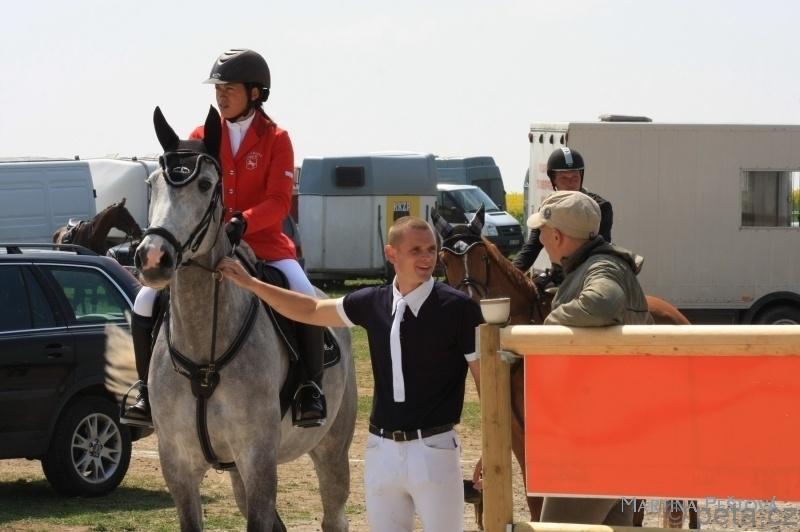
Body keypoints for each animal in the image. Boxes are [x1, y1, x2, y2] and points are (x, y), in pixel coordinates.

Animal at [133, 106, 357, 531]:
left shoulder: (258, 459)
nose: (152, 258)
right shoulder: (179, 466)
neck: (204, 350)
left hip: (331, 451)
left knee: (333, 514)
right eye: (151, 185)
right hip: (236, 470)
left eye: (205, 185)